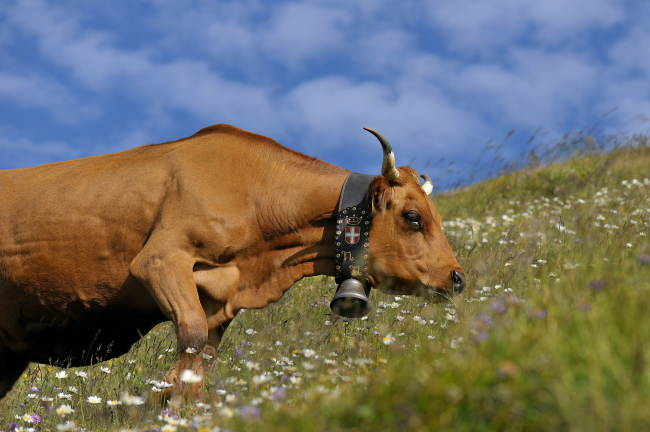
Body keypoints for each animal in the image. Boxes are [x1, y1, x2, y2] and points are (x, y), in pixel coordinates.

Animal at [0, 124, 465, 400]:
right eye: (413, 217)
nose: (457, 277)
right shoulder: (159, 261)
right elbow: (188, 337)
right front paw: (165, 395)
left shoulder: (219, 300)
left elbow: (202, 364)